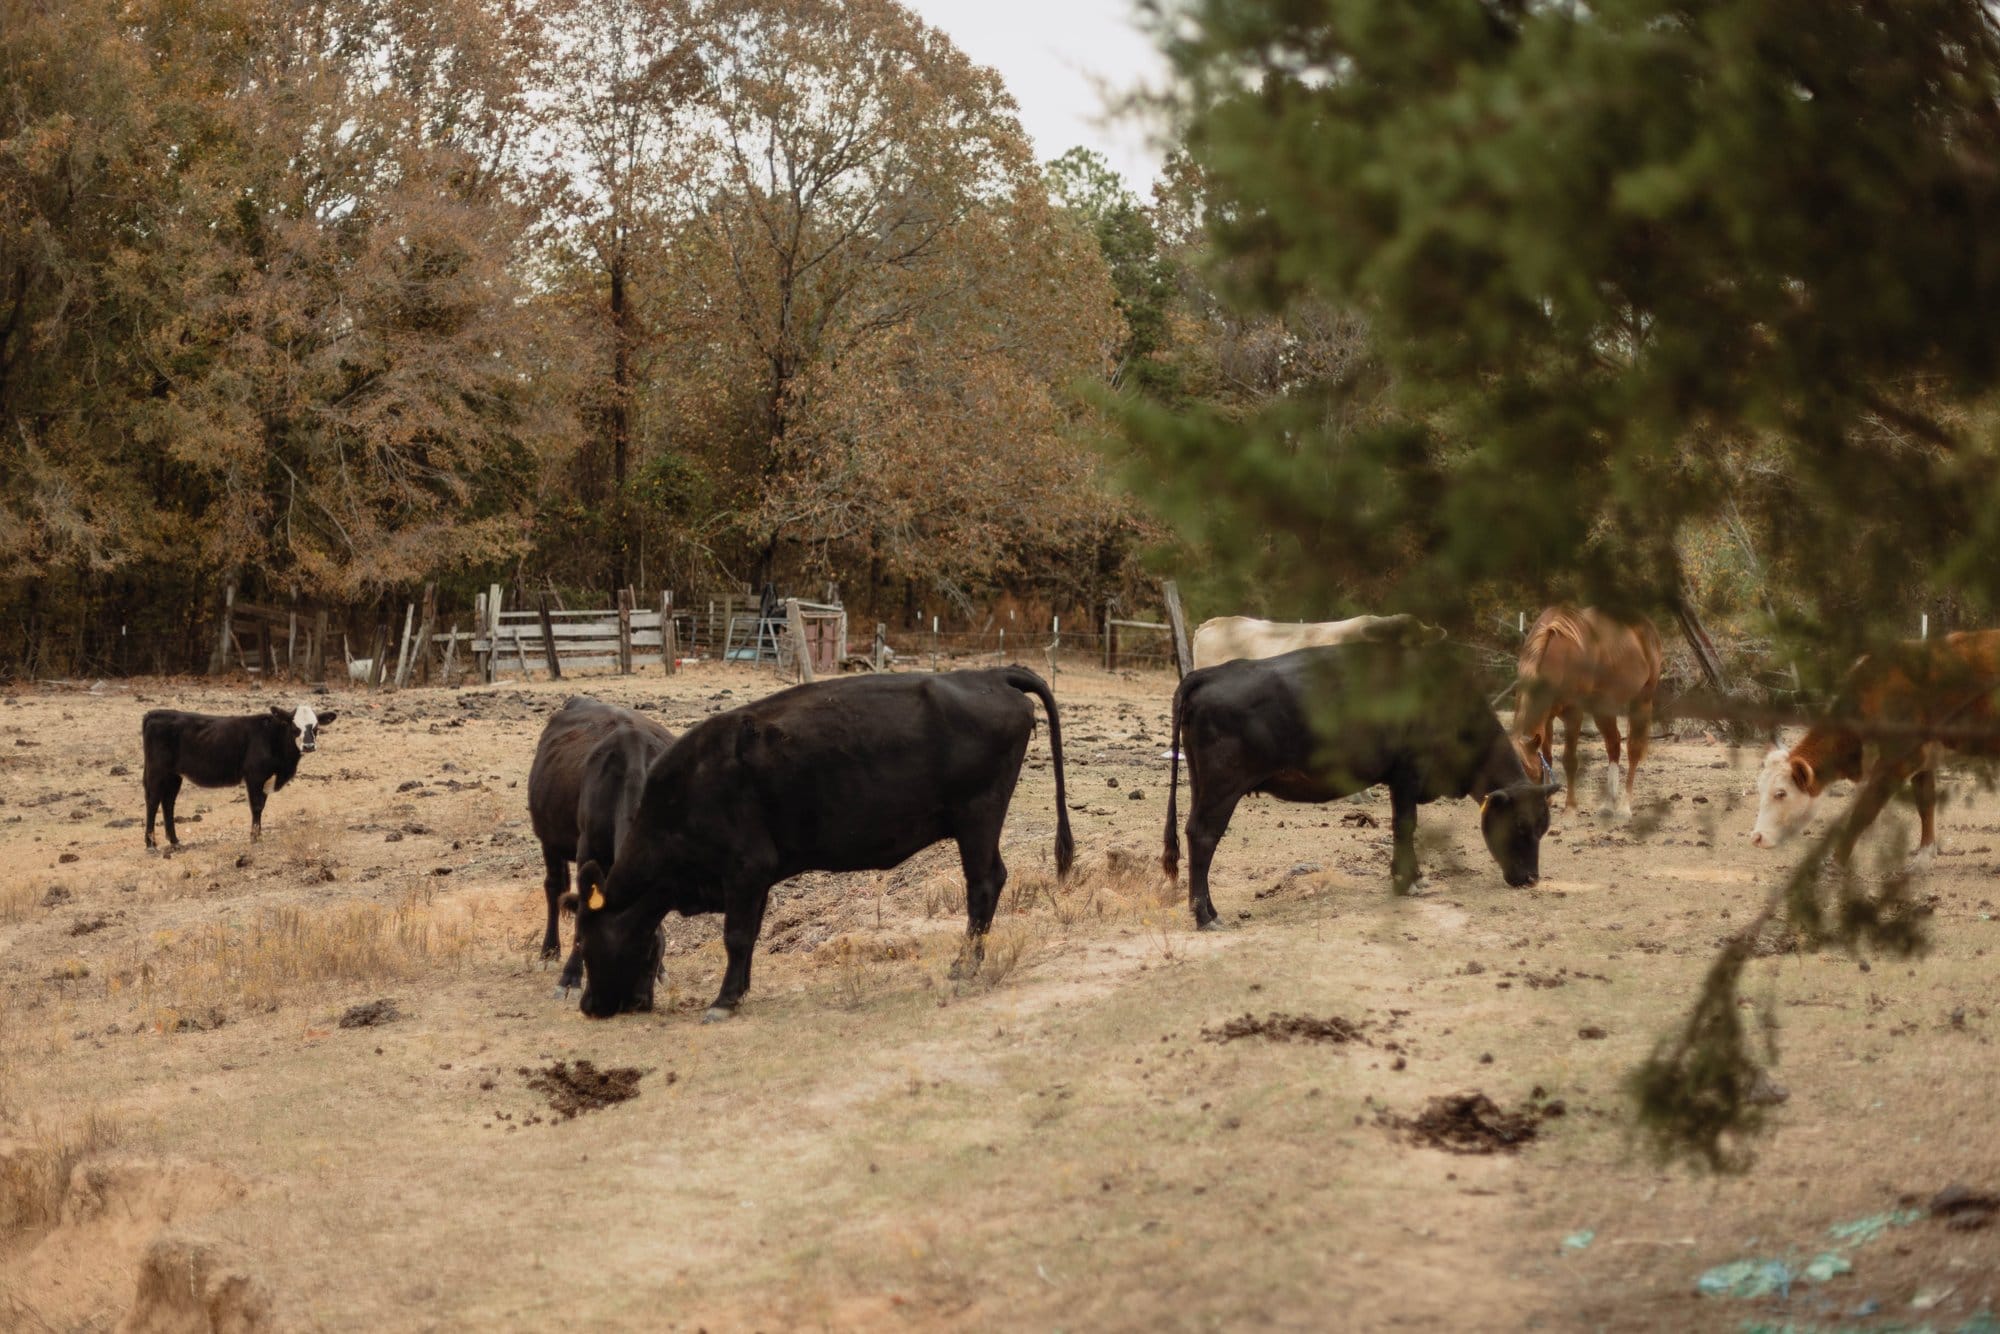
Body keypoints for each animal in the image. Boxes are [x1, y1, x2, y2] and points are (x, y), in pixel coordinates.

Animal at [141, 705, 337, 848]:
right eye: (294, 726)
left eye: (316, 727)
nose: (309, 746)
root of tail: (154, 713)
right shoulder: (254, 776)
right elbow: (256, 806)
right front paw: (254, 838)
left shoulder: (265, 780)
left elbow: (262, 807)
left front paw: (259, 836)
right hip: (157, 771)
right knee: (153, 802)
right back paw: (151, 844)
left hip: (173, 775)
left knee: (168, 802)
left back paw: (174, 841)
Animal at [526, 697, 676, 993]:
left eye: (652, 958)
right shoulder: (587, 850)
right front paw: (570, 977)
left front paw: (664, 973)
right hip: (548, 837)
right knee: (554, 887)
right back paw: (548, 952)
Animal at [572, 667, 1074, 1020]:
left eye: (588, 941)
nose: (588, 1006)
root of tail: (990, 674)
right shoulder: (757, 878)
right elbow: (750, 936)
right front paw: (740, 991)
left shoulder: (745, 867)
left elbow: (735, 936)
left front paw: (723, 1001)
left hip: (977, 816)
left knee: (983, 883)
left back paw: (965, 964)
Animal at [1163, 641, 1558, 922]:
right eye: (1520, 826)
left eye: (1543, 828)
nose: (1531, 879)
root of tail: (1210, 674)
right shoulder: (1407, 774)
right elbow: (1405, 825)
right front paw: (1407, 881)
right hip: (1223, 787)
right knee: (1203, 836)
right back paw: (1205, 916)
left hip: (1201, 784)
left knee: (1194, 833)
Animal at [1752, 629, 2000, 864]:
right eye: (1760, 788)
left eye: (1781, 793)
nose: (1757, 837)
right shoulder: (1924, 759)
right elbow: (1925, 804)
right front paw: (1923, 857)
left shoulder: (1899, 760)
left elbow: (1863, 812)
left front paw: (1835, 863)